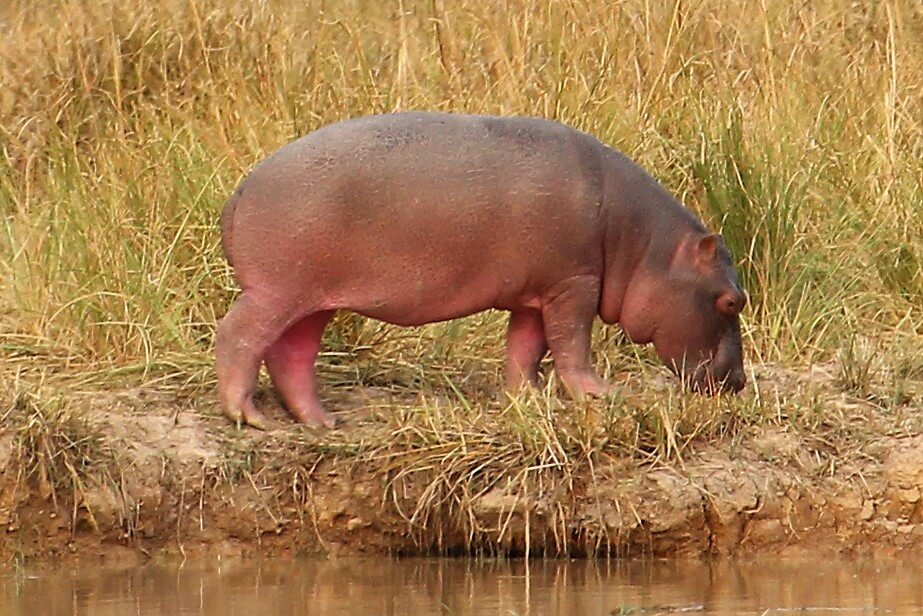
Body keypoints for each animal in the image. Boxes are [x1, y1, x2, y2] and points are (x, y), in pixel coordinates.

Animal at [218, 112, 752, 428]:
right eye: (733, 301)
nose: (740, 381)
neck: (642, 244)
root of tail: (242, 187)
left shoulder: (538, 290)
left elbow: (526, 346)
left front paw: (526, 399)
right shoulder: (574, 284)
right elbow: (571, 342)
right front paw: (599, 394)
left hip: (312, 296)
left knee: (292, 352)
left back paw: (321, 422)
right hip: (276, 289)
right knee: (238, 335)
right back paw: (250, 417)